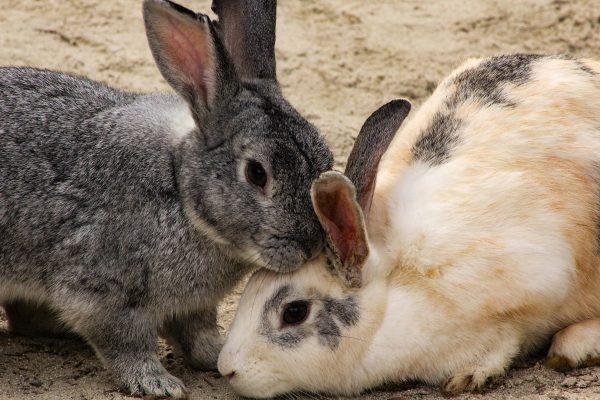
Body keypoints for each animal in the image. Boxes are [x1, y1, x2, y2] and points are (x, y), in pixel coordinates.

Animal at [0, 0, 332, 396]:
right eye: (257, 174)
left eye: (326, 159)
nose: (311, 245)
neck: (180, 191)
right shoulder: (104, 294)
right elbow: (126, 344)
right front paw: (158, 383)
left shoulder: (194, 307)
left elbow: (196, 335)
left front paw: (216, 355)